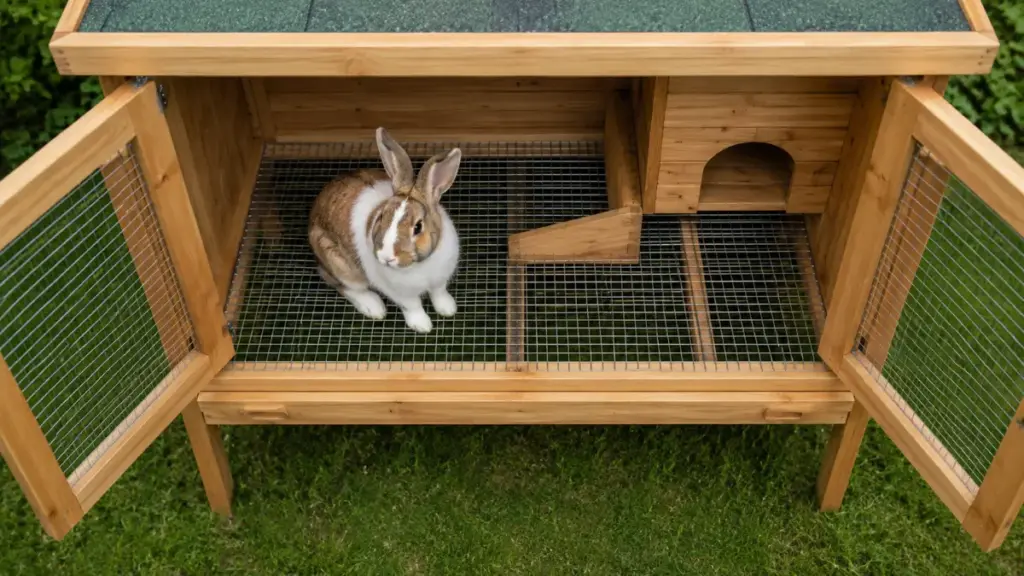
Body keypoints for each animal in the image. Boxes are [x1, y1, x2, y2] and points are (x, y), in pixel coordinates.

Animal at [308, 127, 463, 334]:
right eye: (381, 216)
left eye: (418, 227)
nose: (386, 257)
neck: (420, 265)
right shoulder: (400, 293)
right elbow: (413, 306)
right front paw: (422, 326)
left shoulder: (439, 281)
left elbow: (439, 294)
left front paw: (448, 309)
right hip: (339, 264)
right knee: (342, 285)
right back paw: (373, 307)